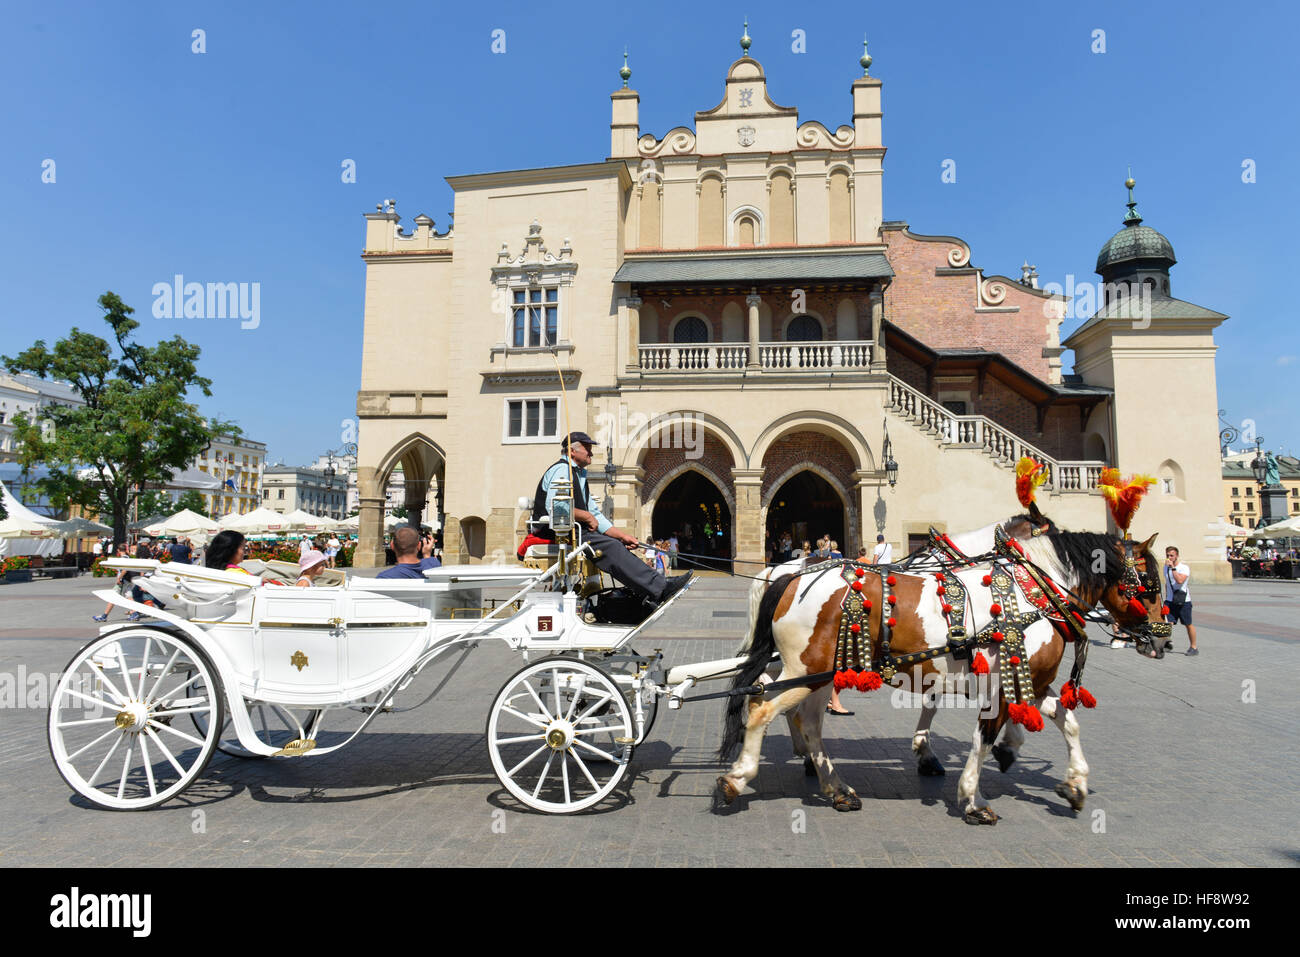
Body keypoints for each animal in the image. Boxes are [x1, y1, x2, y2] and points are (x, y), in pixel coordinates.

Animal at [716, 528, 1169, 823]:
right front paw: (973, 799)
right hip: (804, 670)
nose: (1162, 639)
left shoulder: (1033, 682)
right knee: (762, 707)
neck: (1032, 592)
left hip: (817, 673)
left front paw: (1074, 785)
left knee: (807, 721)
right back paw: (737, 779)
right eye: (1149, 583)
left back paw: (835, 788)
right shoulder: (1002, 685)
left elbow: (1067, 721)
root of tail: (790, 578)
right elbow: (983, 740)